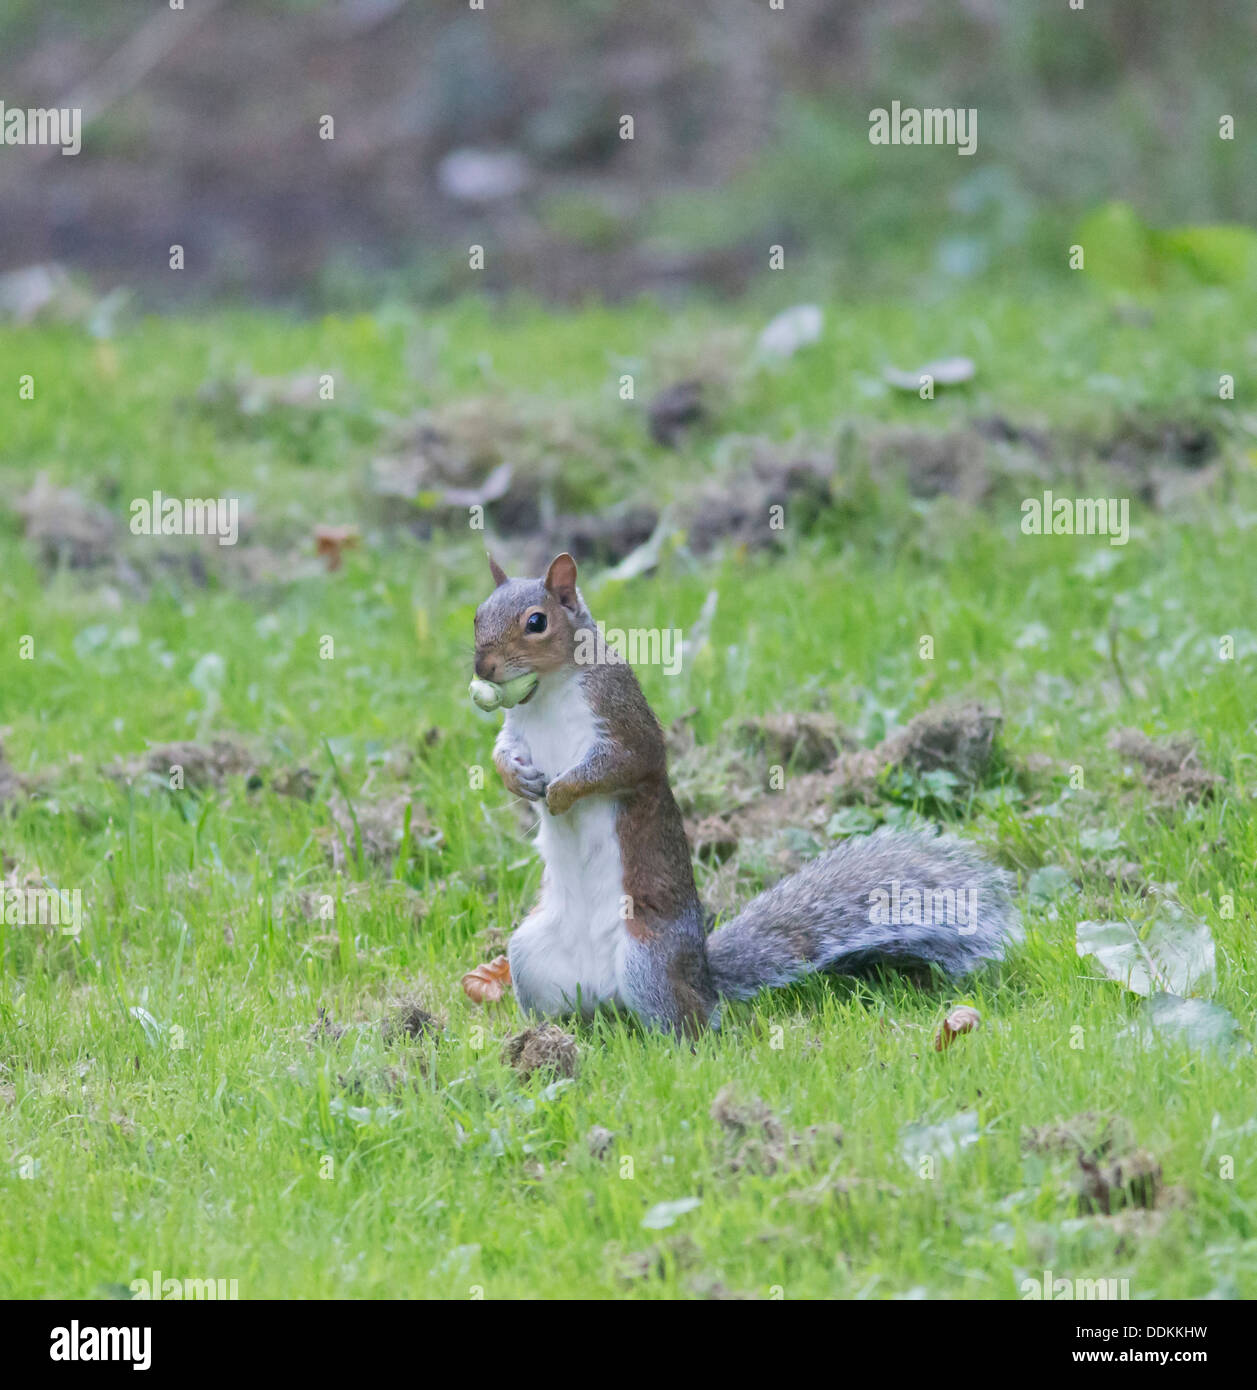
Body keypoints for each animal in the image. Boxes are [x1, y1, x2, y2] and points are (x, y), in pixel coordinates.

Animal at [470, 552, 1019, 1037]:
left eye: (536, 621)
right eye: (477, 615)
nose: (483, 668)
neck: (547, 691)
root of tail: (703, 978)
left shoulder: (621, 717)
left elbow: (621, 764)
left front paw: (561, 792)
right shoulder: (519, 728)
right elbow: (503, 751)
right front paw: (517, 779)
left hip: (648, 964)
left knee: (690, 1025)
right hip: (531, 955)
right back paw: (546, 1038)